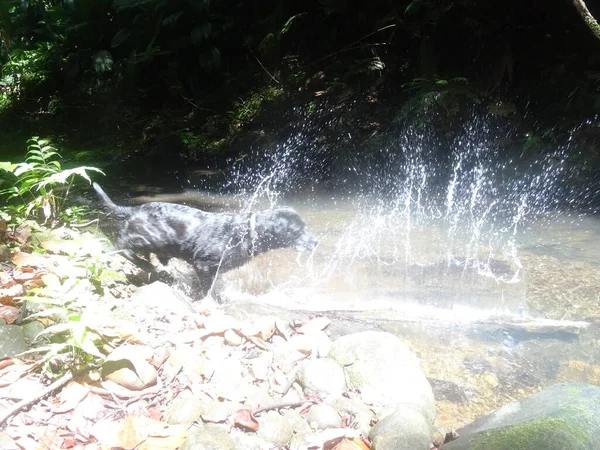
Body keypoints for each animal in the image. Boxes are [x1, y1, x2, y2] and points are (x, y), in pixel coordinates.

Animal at [92, 183, 318, 296]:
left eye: (306, 226)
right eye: (297, 230)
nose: (316, 241)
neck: (245, 232)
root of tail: (134, 210)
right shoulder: (204, 265)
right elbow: (208, 289)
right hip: (147, 238)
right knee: (120, 246)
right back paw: (146, 265)